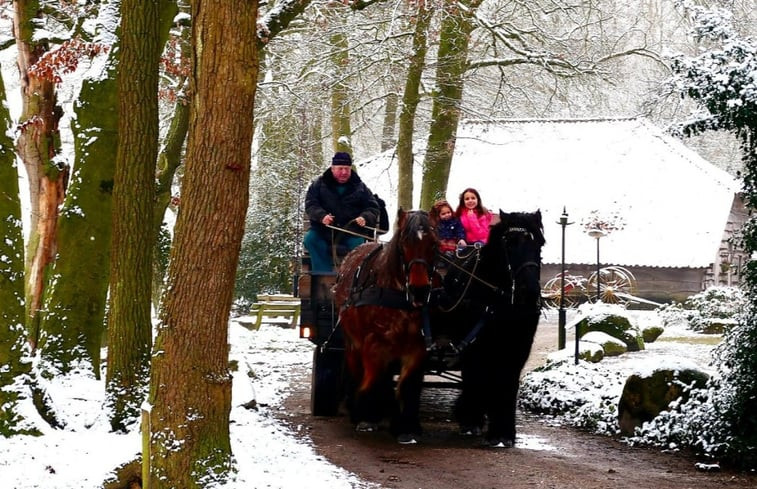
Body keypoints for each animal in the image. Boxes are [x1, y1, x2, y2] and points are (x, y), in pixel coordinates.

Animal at [332, 208, 438, 444]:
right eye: (404, 242)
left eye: (435, 243)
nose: (419, 290)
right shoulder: (374, 344)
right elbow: (378, 379)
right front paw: (369, 416)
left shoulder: (418, 347)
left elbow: (407, 385)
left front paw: (406, 427)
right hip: (352, 341)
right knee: (357, 370)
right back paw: (356, 409)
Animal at [432, 210, 544, 446]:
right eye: (510, 243)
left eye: (539, 244)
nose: (529, 292)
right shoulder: (475, 343)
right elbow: (478, 377)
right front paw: (471, 419)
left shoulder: (519, 345)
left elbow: (508, 382)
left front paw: (504, 433)